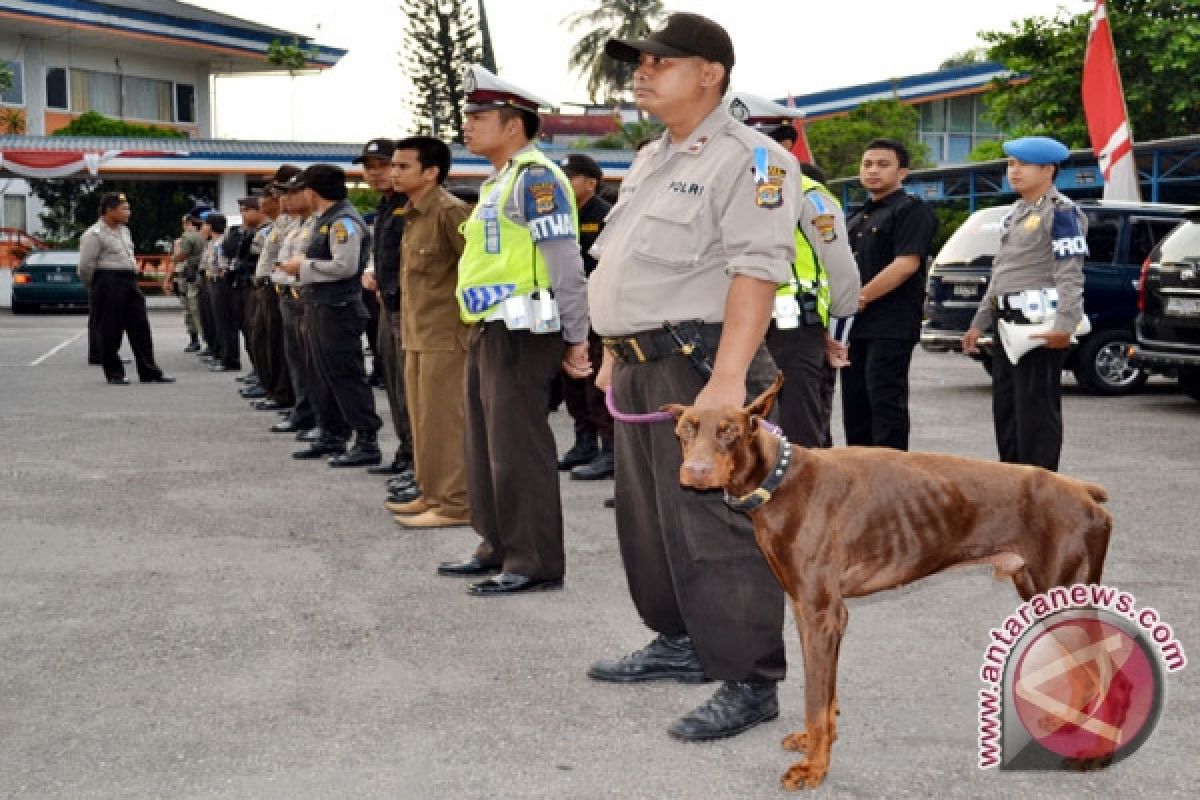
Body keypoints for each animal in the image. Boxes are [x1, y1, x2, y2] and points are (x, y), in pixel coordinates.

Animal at [662, 374, 1108, 786]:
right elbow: (823, 695)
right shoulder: (806, 609)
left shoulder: (823, 613)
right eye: (684, 431)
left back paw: (1093, 752)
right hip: (1038, 592)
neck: (780, 479)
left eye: (729, 430)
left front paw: (814, 767)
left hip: (1063, 590)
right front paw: (816, 743)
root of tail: (1086, 493)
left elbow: (814, 698)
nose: (694, 471)